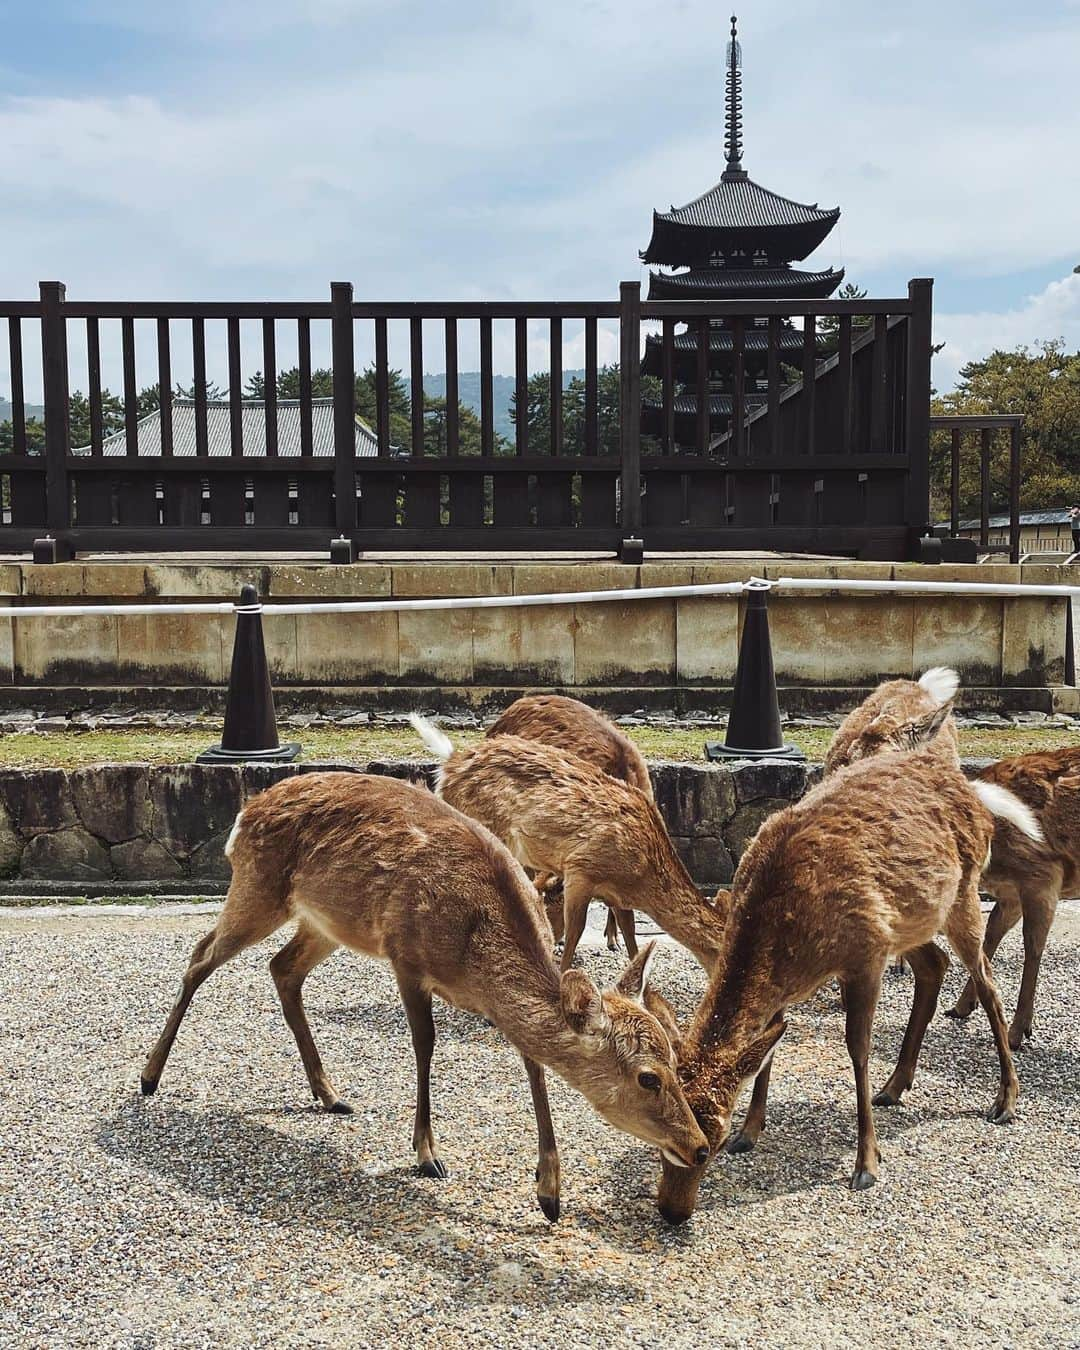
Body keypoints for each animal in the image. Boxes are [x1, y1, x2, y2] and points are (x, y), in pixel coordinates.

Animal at [137, 772, 707, 1225]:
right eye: (648, 1078)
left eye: (676, 1059)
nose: (700, 1147)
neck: (474, 955)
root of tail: (242, 815)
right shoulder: (406, 959)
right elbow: (425, 1043)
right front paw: (427, 1154)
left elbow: (534, 1063)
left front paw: (549, 1193)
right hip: (257, 887)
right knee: (201, 955)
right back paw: (149, 1077)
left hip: (326, 921)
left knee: (282, 970)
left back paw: (329, 1093)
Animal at [653, 745, 1042, 1231]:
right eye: (655, 1132)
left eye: (713, 1142)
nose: (671, 1211)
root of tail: (973, 792)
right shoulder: (788, 986)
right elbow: (768, 1053)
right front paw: (752, 1131)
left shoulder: (866, 956)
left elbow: (858, 1049)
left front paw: (866, 1163)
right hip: (909, 920)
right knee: (935, 965)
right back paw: (895, 1087)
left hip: (963, 894)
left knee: (987, 983)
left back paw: (1005, 1099)